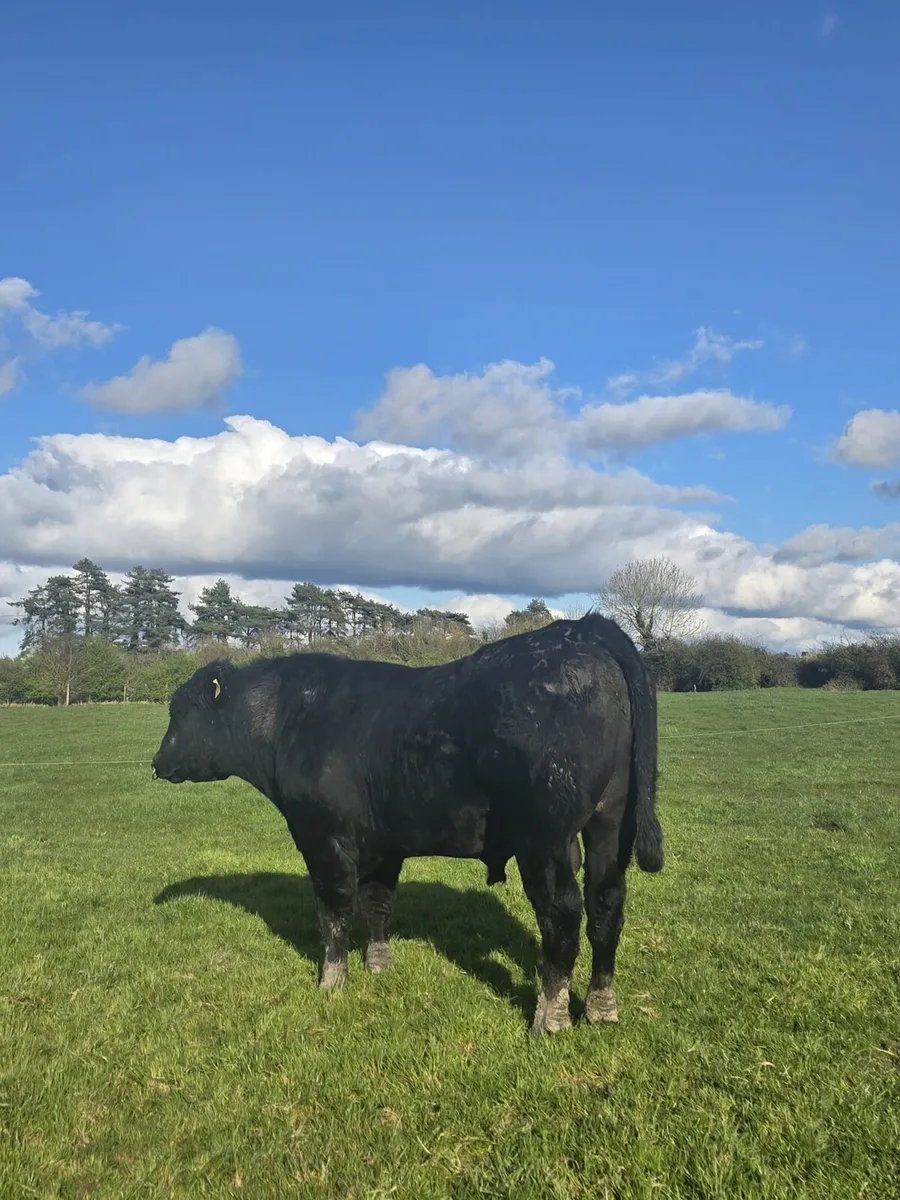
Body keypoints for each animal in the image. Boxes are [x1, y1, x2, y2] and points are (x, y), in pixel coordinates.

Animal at [151, 611, 663, 1035]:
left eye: (181, 712)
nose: (156, 762)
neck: (286, 720)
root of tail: (581, 629)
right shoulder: (383, 843)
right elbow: (378, 902)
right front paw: (379, 964)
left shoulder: (322, 835)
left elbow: (334, 910)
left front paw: (331, 980)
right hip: (609, 824)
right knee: (606, 905)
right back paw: (600, 1008)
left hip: (545, 837)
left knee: (563, 915)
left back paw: (550, 1018)